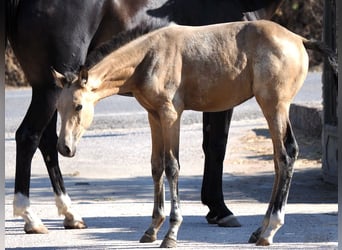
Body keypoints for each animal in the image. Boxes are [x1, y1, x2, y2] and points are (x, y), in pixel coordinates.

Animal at [6, 0, 284, 234]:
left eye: (78, 107)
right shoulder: (221, 99)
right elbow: (216, 147)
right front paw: (220, 210)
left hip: (48, 89)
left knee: (47, 142)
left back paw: (70, 214)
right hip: (49, 90)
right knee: (28, 136)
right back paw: (30, 216)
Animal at [52, 20, 310, 246]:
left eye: (78, 106)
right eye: (58, 108)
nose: (64, 147)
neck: (149, 57)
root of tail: (298, 39)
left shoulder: (170, 115)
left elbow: (171, 166)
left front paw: (171, 234)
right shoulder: (154, 116)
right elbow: (156, 166)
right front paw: (152, 229)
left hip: (274, 106)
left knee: (286, 155)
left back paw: (270, 230)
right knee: (279, 160)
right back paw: (259, 230)